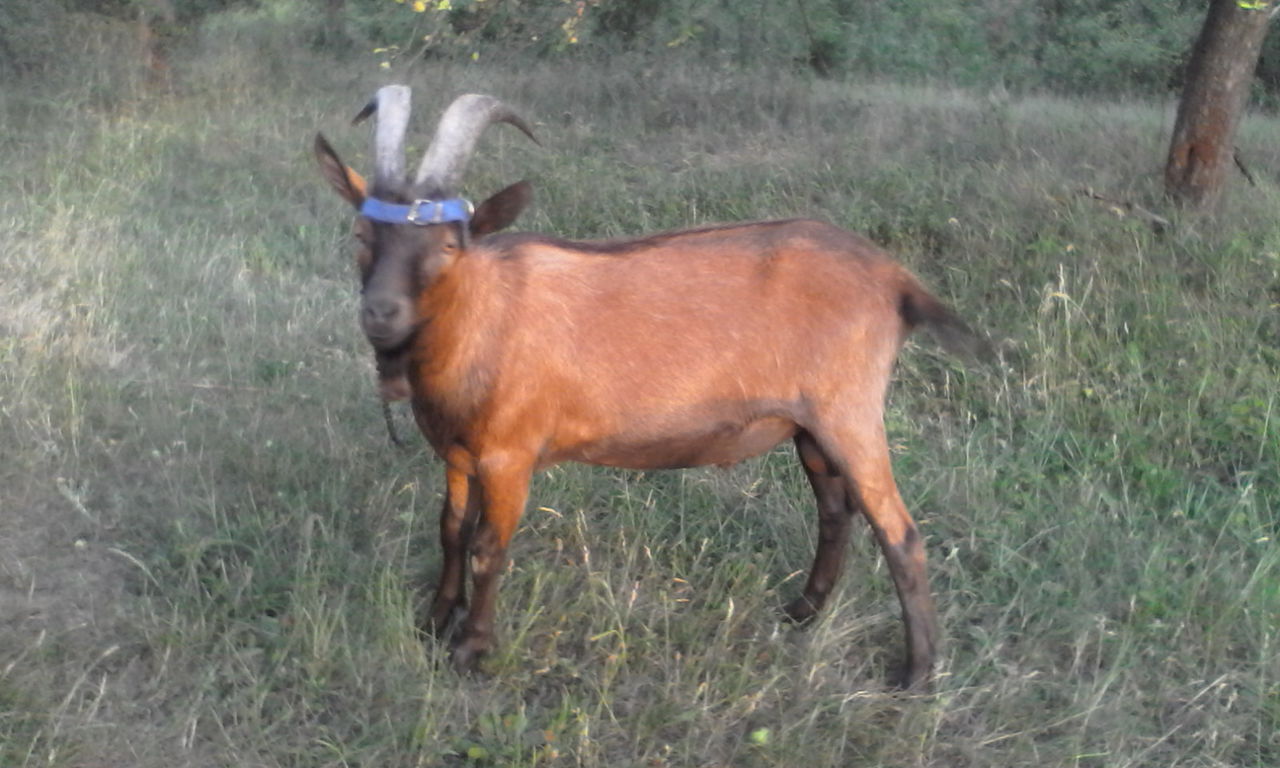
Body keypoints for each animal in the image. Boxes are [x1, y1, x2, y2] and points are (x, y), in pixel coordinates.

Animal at [314, 85, 983, 691]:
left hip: (850, 411)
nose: (381, 313)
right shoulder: (457, 454)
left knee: (900, 532)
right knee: (836, 510)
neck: (484, 317)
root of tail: (896, 280)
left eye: (450, 243)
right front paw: (431, 625)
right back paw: (801, 614)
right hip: (810, 428)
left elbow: (487, 546)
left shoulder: (509, 454)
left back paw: (917, 675)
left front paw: (470, 651)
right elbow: (450, 533)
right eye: (361, 235)